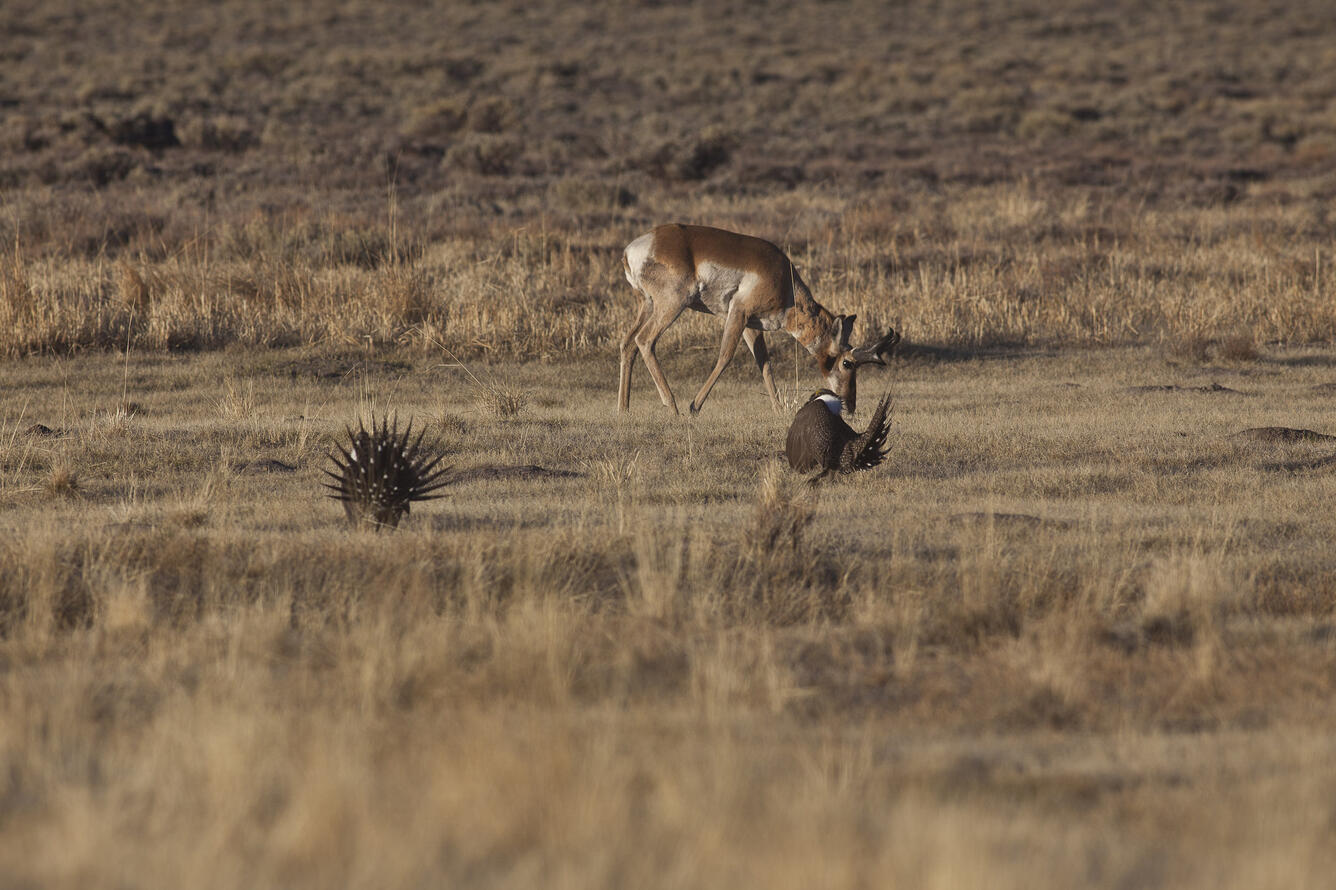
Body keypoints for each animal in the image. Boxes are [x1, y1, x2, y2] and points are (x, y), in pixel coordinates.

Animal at [617, 224, 900, 416]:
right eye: (847, 363)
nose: (850, 406)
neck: (786, 283)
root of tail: (634, 248)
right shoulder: (738, 313)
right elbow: (725, 356)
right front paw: (694, 406)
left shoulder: (752, 327)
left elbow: (764, 364)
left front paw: (779, 409)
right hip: (673, 304)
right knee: (645, 340)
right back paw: (673, 405)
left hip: (648, 305)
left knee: (628, 343)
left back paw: (623, 408)